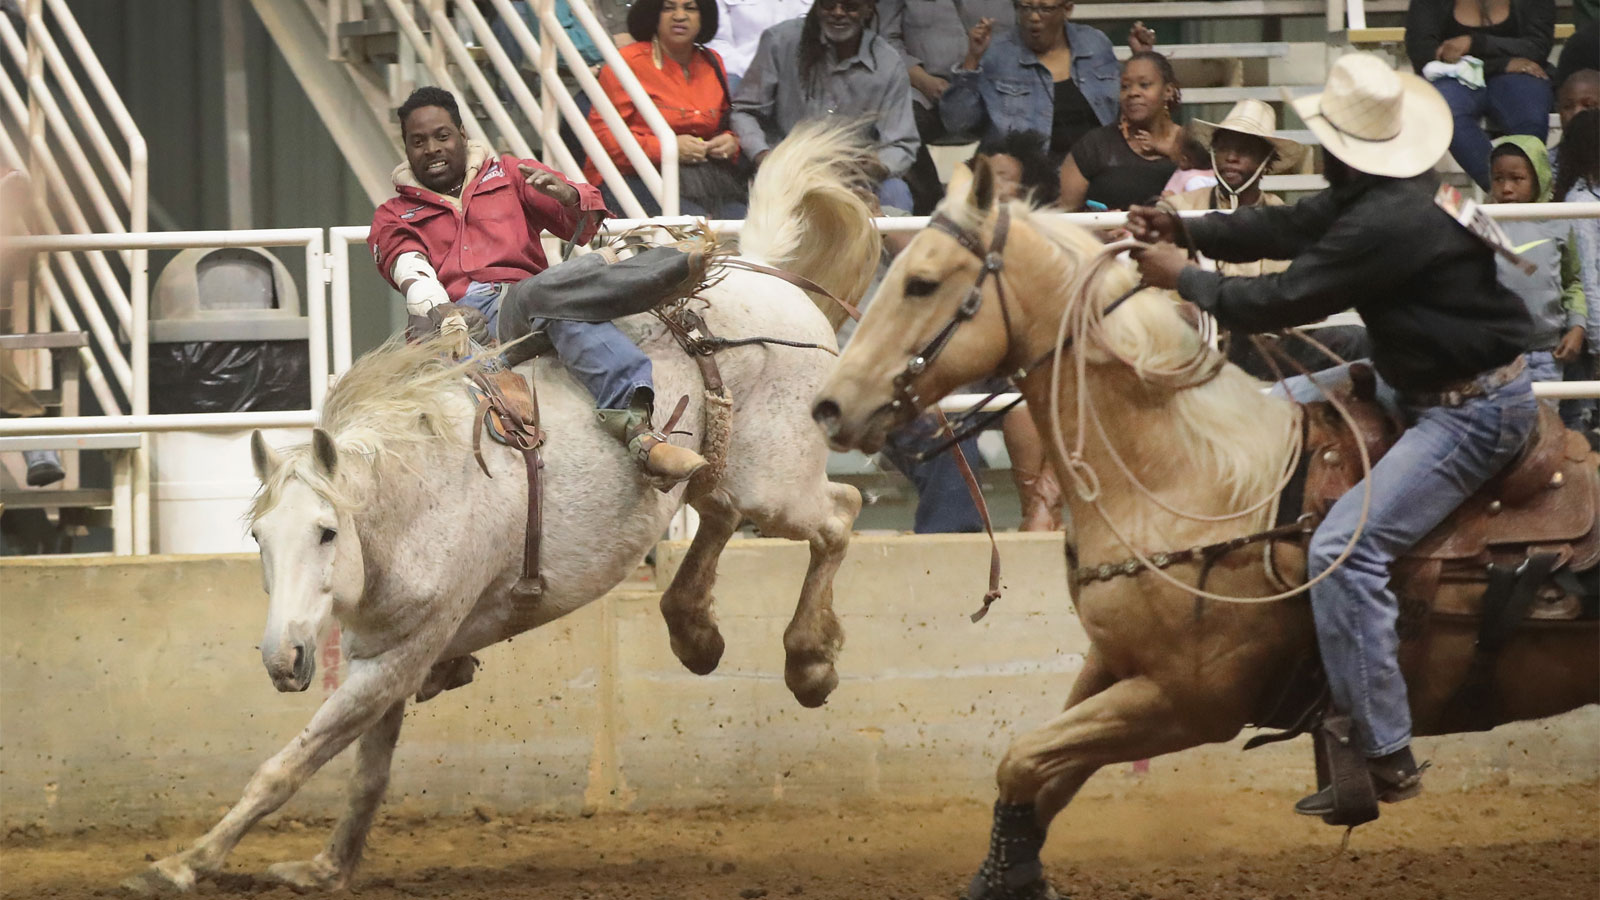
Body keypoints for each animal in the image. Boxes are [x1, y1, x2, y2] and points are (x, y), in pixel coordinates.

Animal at [121, 124, 876, 890]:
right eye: (258, 539)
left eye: (328, 532)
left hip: (776, 485)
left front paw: (183, 863)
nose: (284, 657)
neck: (412, 502)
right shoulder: (389, 650)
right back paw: (695, 630)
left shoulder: (398, 656)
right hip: (727, 472)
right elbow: (367, 772)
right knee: (720, 514)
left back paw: (809, 662)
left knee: (838, 514)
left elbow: (291, 764)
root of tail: (768, 276)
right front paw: (326, 866)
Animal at [819, 157, 1593, 890]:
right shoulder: (1115, 665)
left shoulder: (1189, 703)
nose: (829, 406)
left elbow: (1023, 762)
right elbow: (1043, 779)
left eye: (921, 282)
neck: (1187, 478)